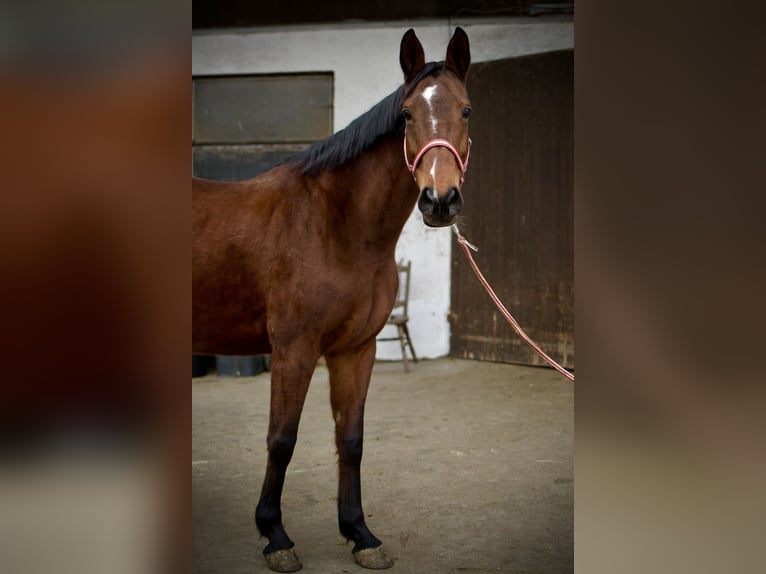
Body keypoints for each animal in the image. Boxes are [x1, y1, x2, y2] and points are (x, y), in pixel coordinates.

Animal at [192, 28, 472, 572]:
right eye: (407, 114)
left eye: (467, 110)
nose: (440, 200)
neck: (336, 225)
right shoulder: (295, 349)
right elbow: (282, 440)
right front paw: (275, 535)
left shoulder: (356, 349)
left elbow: (351, 438)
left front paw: (359, 533)